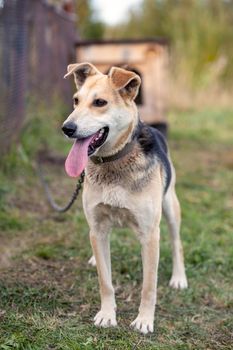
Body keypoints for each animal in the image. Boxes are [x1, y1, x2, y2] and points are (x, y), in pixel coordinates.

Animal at [62, 62, 187, 334]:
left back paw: (179, 278)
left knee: (176, 243)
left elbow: (149, 286)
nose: (67, 128)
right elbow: (105, 280)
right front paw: (107, 315)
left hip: (170, 208)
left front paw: (144, 320)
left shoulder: (150, 235)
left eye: (99, 102)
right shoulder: (98, 227)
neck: (114, 160)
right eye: (76, 101)